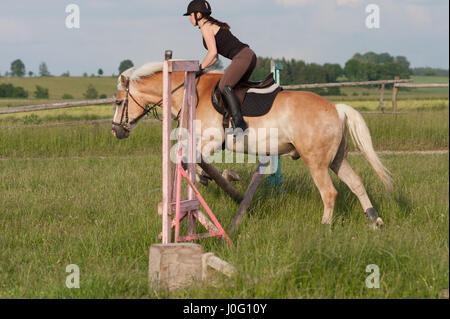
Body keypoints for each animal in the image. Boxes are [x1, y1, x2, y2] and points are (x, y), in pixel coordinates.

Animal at [113, 62, 394, 228]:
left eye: (117, 102)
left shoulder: (212, 140)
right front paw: (216, 178)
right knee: (356, 183)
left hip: (315, 161)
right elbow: (194, 162)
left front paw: (228, 178)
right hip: (335, 159)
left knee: (329, 193)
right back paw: (375, 220)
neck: (190, 93)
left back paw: (324, 227)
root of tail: (337, 108)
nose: (117, 130)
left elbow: (194, 161)